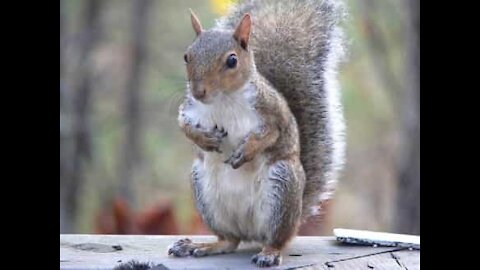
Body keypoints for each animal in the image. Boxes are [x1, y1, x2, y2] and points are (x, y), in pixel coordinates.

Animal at [168, 0, 344, 266]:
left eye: (232, 61)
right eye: (187, 56)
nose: (199, 91)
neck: (224, 100)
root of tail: (250, 232)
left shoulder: (274, 112)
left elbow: (272, 135)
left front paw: (246, 151)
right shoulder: (190, 109)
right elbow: (184, 126)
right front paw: (205, 139)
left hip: (282, 188)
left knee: (278, 239)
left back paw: (269, 253)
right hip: (206, 195)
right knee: (229, 241)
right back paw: (203, 245)